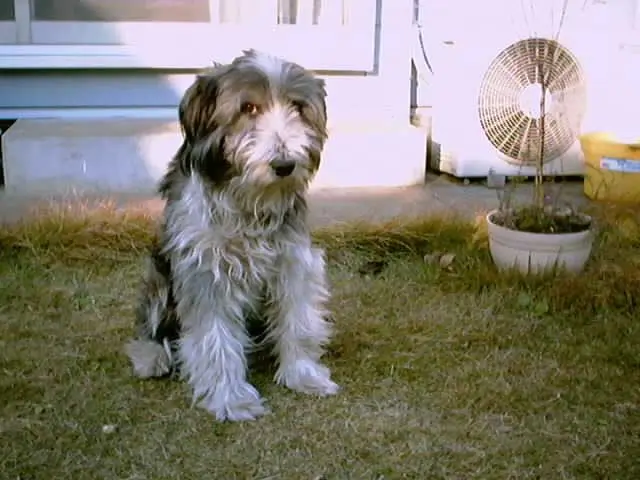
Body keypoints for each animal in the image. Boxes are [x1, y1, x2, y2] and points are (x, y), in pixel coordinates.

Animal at [122, 50, 338, 422]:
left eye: (297, 107)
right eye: (247, 107)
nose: (284, 165)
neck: (248, 201)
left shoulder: (294, 262)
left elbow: (298, 320)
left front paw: (303, 375)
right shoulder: (204, 271)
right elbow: (215, 339)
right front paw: (232, 398)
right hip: (158, 276)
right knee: (151, 328)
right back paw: (153, 357)